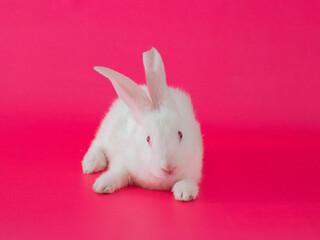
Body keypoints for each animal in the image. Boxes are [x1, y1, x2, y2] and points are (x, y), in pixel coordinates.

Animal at [82, 47, 202, 201]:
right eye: (148, 139)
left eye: (180, 134)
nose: (169, 167)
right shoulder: (123, 161)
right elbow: (117, 173)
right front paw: (101, 185)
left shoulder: (193, 170)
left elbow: (187, 181)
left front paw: (184, 194)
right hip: (107, 131)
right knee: (97, 144)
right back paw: (90, 164)